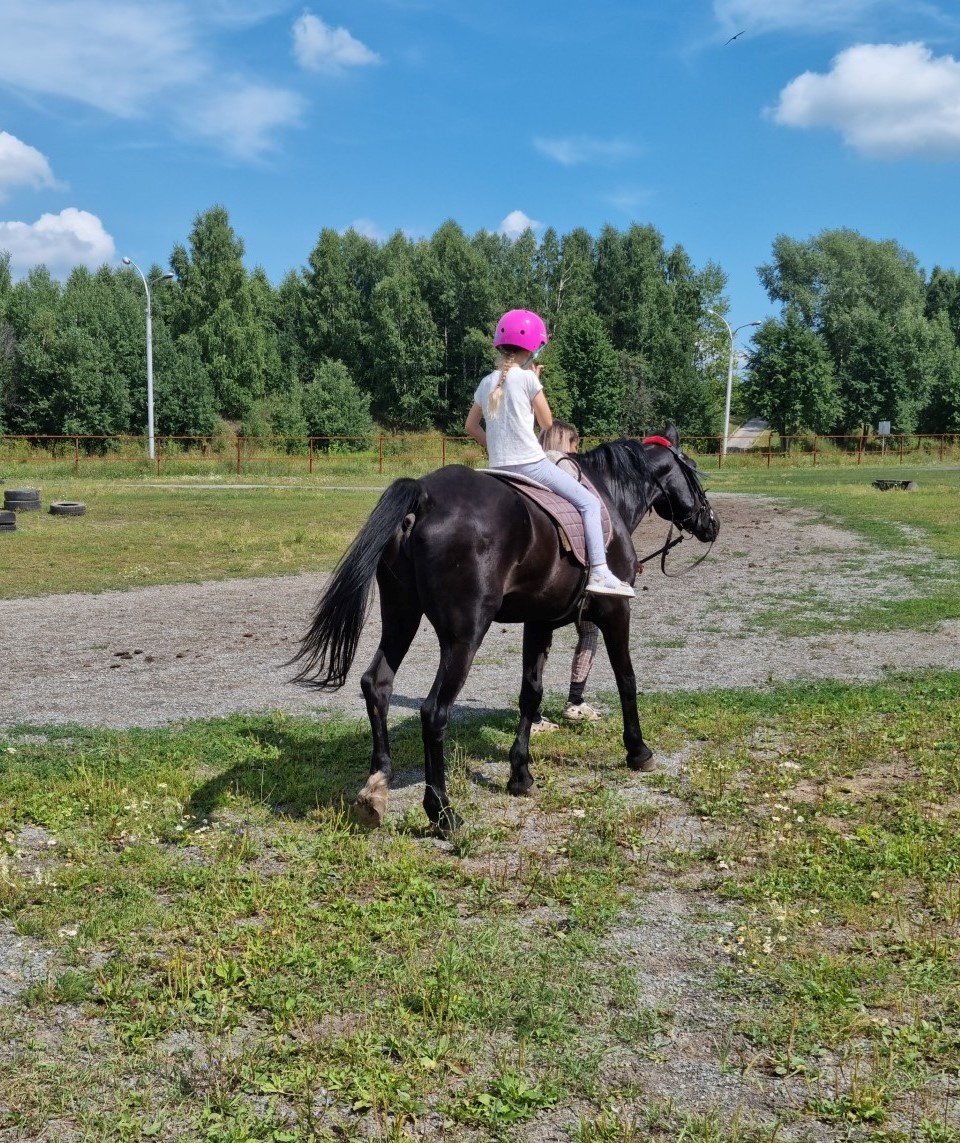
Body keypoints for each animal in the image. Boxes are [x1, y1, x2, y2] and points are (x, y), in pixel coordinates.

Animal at [292, 425, 722, 836]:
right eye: (693, 471)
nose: (711, 524)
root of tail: (425, 496)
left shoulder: (539, 622)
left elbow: (531, 695)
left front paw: (521, 775)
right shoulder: (616, 611)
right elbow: (626, 680)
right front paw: (638, 751)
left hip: (401, 616)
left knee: (377, 684)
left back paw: (376, 789)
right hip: (464, 636)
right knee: (434, 712)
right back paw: (443, 813)